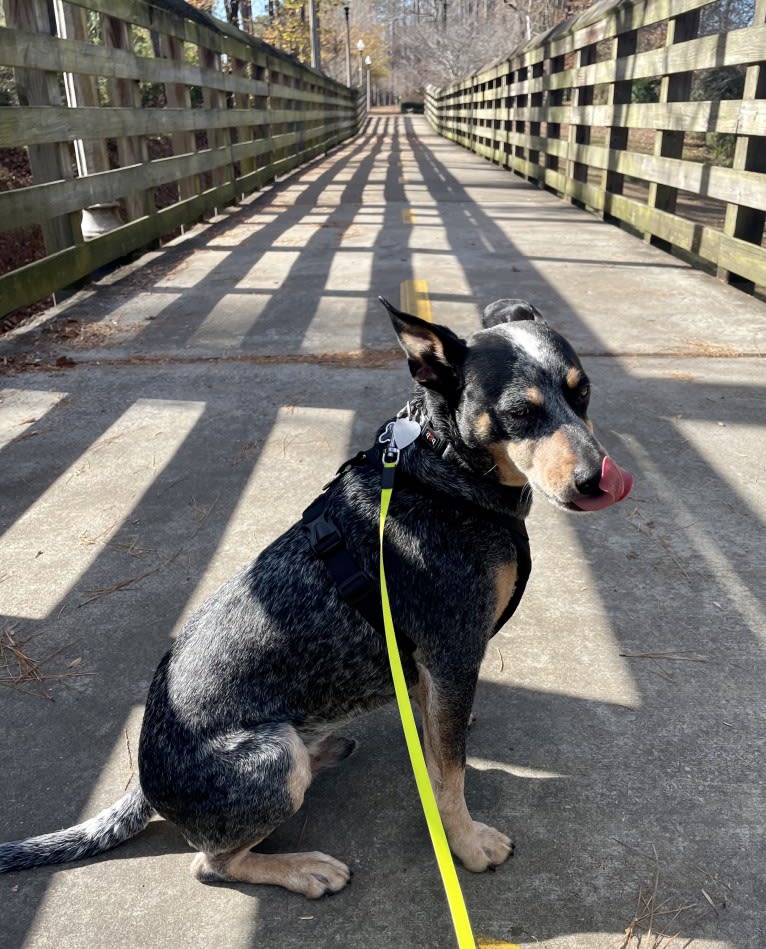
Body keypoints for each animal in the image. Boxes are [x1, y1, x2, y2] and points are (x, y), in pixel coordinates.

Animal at [0, 296, 632, 896]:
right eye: (520, 413)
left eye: (583, 393)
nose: (597, 480)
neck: (446, 469)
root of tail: (144, 782)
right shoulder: (452, 653)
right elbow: (450, 776)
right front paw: (468, 844)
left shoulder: (432, 669)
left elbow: (437, 751)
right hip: (273, 756)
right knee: (212, 864)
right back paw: (304, 869)